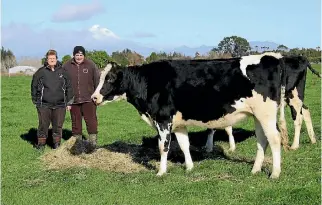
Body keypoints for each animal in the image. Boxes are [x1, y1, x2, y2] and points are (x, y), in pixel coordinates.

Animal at [90, 52, 284, 178]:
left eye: (110, 78)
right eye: (100, 77)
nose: (94, 97)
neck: (147, 82)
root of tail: (271, 57)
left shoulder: (163, 119)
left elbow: (163, 147)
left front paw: (161, 172)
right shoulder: (179, 123)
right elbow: (184, 145)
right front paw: (189, 167)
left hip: (266, 114)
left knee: (274, 139)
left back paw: (275, 173)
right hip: (258, 116)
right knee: (262, 140)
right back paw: (255, 170)